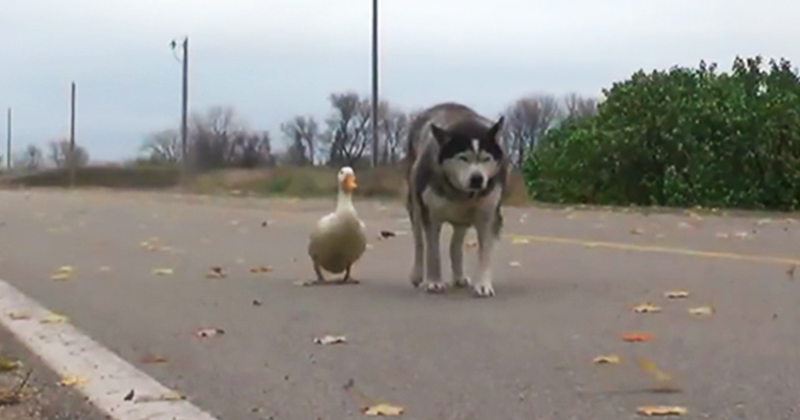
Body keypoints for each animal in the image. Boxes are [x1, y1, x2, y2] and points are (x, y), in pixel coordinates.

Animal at [406, 103, 506, 296]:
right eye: (463, 158)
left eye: (486, 158)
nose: (477, 179)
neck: (462, 193)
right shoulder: (431, 216)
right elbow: (433, 252)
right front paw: (434, 282)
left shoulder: (488, 215)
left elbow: (485, 251)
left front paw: (483, 285)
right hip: (415, 203)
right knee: (419, 242)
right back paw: (417, 274)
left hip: (462, 217)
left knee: (455, 244)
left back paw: (459, 276)